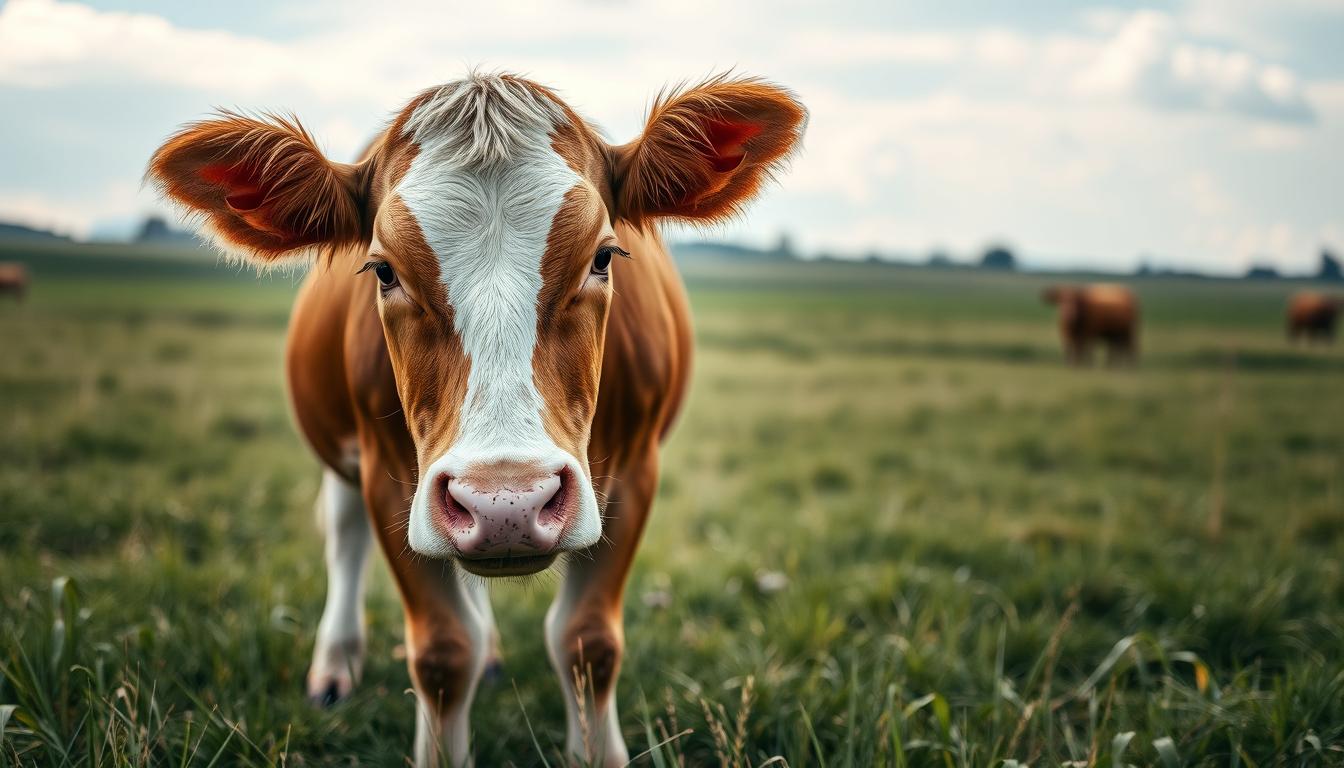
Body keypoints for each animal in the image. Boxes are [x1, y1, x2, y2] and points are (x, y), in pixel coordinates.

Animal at [147, 72, 805, 766]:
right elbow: (442, 650)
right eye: (384, 269)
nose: (505, 503)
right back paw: (335, 665)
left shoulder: (635, 468)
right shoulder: (388, 474)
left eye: (603, 257)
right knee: (344, 535)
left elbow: (587, 641)